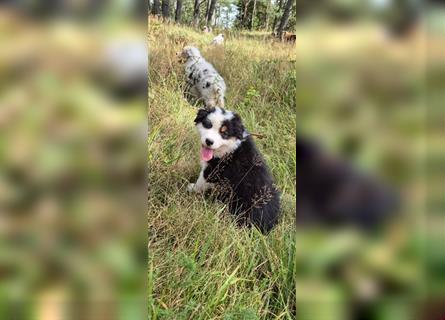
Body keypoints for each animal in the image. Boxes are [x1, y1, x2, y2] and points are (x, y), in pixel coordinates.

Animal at [188, 106, 280, 234]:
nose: (209, 142)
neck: (230, 148)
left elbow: (200, 182)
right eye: (208, 124)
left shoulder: (213, 170)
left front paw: (192, 189)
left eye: (224, 133)